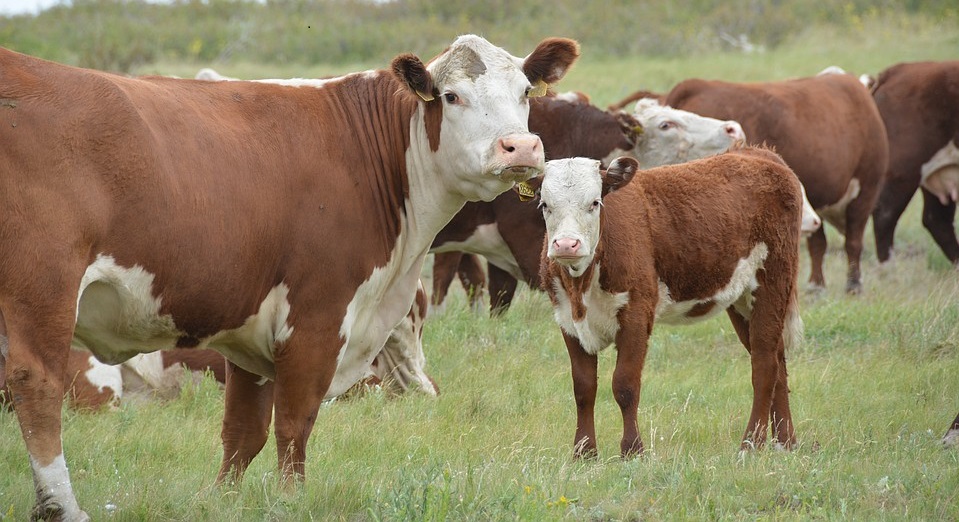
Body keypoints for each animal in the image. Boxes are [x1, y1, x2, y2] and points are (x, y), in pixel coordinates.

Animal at [0, 34, 576, 516]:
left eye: (526, 91)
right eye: (452, 96)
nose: (521, 148)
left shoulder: (247, 329)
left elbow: (242, 431)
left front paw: (221, 500)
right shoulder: (317, 317)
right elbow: (294, 423)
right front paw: (291, 499)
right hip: (46, 284)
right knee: (38, 386)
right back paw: (61, 506)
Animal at [536, 146, 808, 456]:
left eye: (594, 203)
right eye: (544, 205)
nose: (566, 245)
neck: (581, 286)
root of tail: (758, 153)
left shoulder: (636, 314)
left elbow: (624, 385)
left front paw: (632, 450)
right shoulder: (567, 320)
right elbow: (583, 388)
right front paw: (584, 452)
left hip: (773, 280)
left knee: (764, 365)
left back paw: (751, 443)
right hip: (743, 300)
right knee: (778, 361)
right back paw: (786, 442)